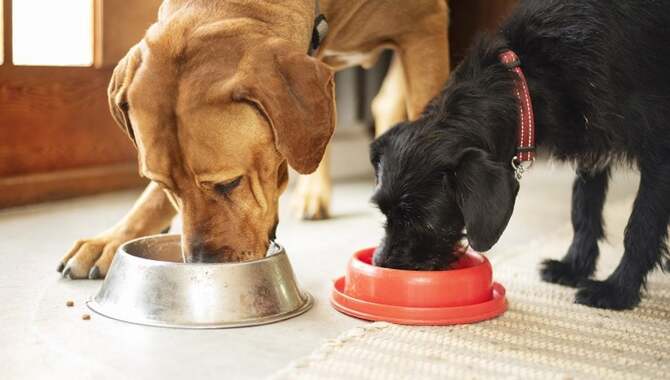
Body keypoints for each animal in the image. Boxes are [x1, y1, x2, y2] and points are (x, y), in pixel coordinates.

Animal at [370, 0, 670, 308]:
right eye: (384, 212)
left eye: (425, 222)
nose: (382, 264)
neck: (528, 75)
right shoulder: (592, 141)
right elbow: (584, 206)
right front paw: (574, 266)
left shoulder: (659, 152)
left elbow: (640, 227)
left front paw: (617, 290)